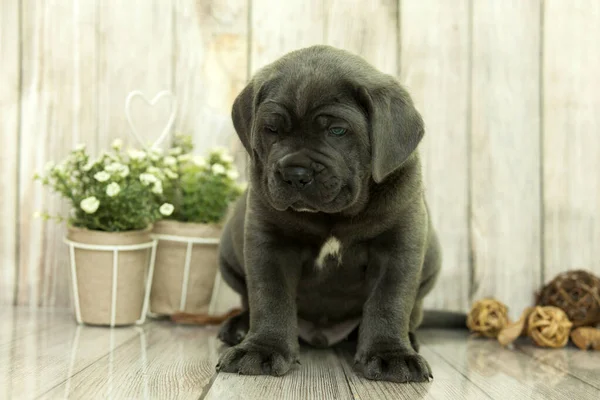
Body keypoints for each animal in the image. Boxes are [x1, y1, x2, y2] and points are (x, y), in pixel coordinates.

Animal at [218, 45, 442, 382]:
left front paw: (391, 354)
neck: (332, 217)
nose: (295, 173)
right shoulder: (268, 240)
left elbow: (389, 299)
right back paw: (239, 327)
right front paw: (262, 348)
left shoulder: (399, 243)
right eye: (271, 129)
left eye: (337, 130)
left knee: (412, 312)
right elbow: (269, 295)